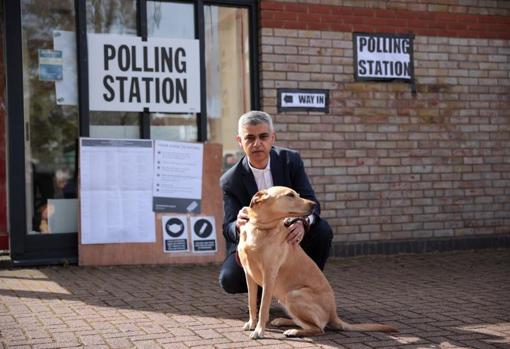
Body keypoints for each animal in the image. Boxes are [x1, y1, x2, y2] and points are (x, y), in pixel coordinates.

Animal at [237, 186, 396, 338]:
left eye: (297, 194)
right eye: (290, 195)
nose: (314, 204)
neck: (260, 228)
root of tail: (333, 314)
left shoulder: (269, 275)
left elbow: (263, 308)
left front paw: (259, 331)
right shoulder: (248, 275)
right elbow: (252, 303)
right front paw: (251, 324)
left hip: (293, 295)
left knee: (318, 329)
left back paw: (294, 331)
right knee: (305, 323)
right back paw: (283, 321)